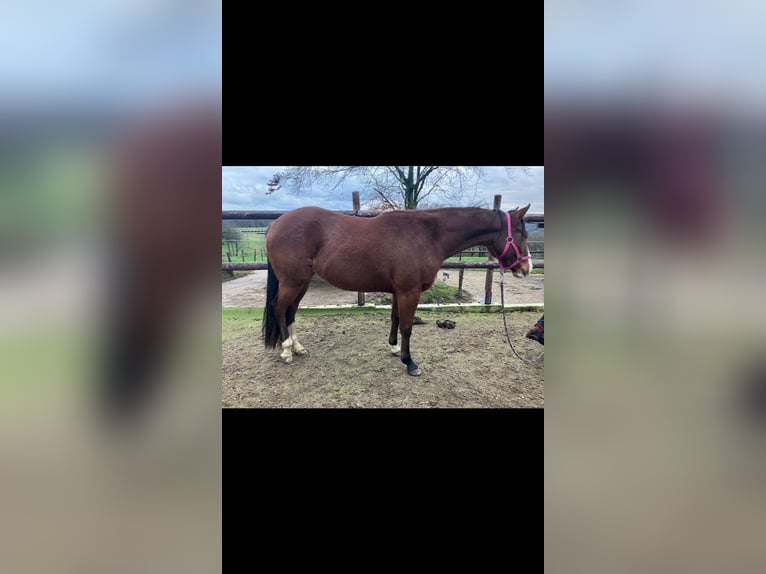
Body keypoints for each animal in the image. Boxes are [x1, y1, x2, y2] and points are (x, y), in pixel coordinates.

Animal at [262, 204, 531, 376]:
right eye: (522, 234)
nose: (526, 268)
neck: (426, 235)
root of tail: (276, 224)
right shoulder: (409, 292)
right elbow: (407, 326)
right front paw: (409, 362)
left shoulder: (398, 291)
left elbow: (395, 318)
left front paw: (393, 348)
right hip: (293, 282)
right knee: (279, 308)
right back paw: (286, 351)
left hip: (302, 282)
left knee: (290, 311)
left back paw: (297, 348)